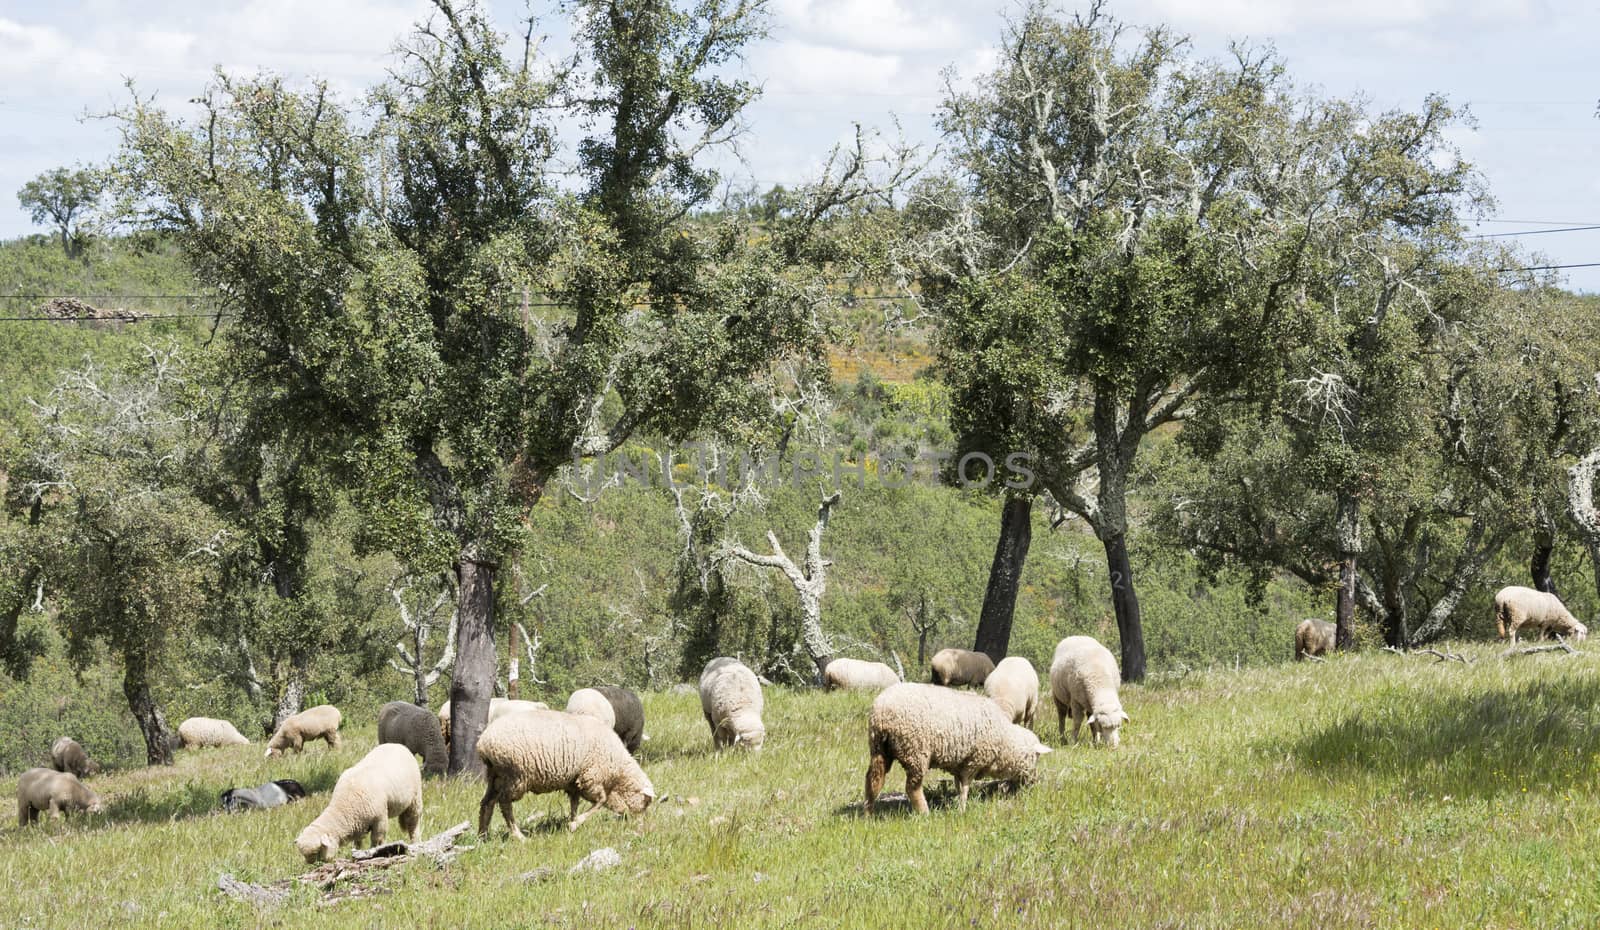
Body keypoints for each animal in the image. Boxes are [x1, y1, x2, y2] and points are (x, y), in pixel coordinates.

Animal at [292, 739, 422, 864]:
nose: (311, 865)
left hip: (415, 799)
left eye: (317, 852)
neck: (346, 804)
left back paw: (415, 843)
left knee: (413, 824)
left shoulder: (380, 819)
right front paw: (356, 853)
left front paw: (375, 852)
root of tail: (397, 745)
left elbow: (377, 840)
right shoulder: (359, 822)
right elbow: (357, 842)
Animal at [473, 707, 656, 838]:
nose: (641, 828)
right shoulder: (591, 778)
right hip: (515, 776)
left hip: (496, 776)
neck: (618, 772)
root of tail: (484, 743)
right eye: (646, 802)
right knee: (504, 803)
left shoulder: (574, 783)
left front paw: (573, 823)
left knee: (487, 802)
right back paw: (518, 835)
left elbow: (575, 804)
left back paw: (483, 835)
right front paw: (575, 824)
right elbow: (600, 801)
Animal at [864, 681, 1049, 813]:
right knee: (912, 787)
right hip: (916, 751)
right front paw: (962, 809)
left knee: (873, 780)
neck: (1004, 740)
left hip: (879, 748)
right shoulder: (973, 760)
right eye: (1036, 758)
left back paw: (868, 813)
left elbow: (958, 784)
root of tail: (881, 710)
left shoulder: (959, 763)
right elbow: (965, 786)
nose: (1034, 782)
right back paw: (925, 812)